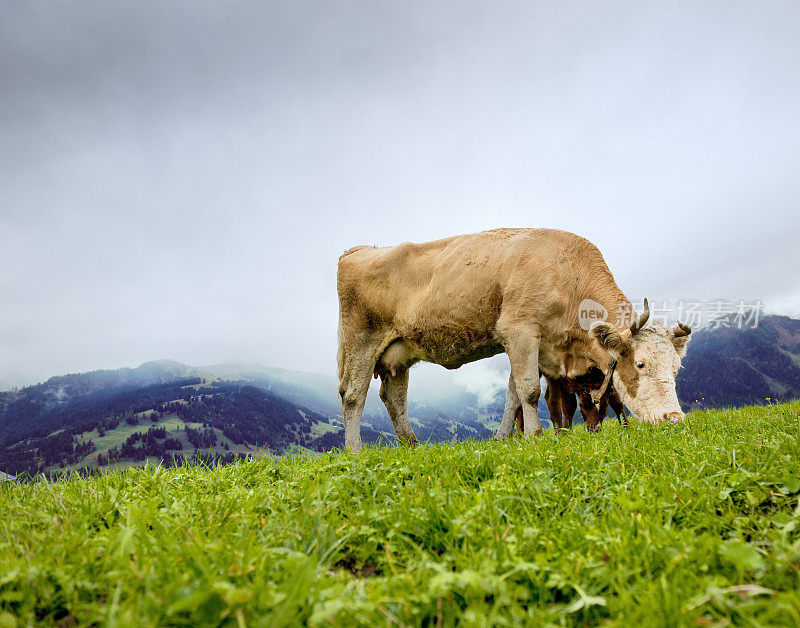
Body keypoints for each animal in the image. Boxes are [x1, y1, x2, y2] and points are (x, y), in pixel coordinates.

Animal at [334, 228, 692, 448]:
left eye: (676, 369)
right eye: (641, 364)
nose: (674, 419)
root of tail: (358, 251)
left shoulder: (534, 346)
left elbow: (513, 396)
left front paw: (503, 439)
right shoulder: (519, 331)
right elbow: (529, 391)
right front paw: (535, 436)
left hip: (399, 352)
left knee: (394, 399)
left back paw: (412, 446)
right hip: (361, 341)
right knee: (352, 395)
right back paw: (355, 450)